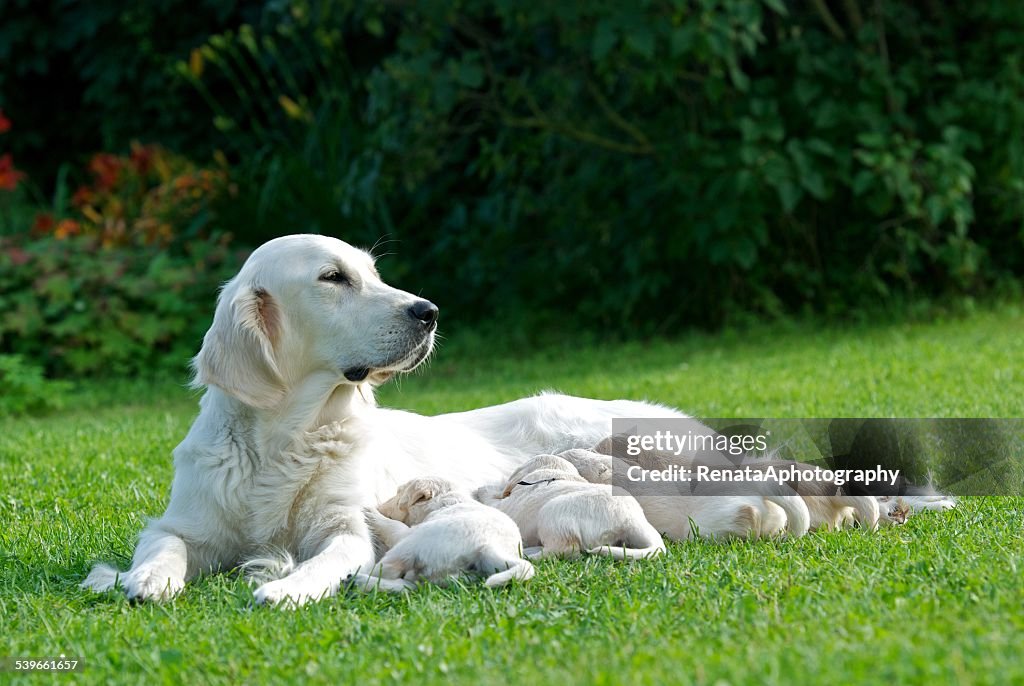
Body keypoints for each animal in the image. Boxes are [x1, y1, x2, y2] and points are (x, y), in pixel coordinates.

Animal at [350, 479, 532, 589]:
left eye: (398, 493)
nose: (380, 507)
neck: (447, 501)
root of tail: (487, 546)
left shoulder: (407, 532)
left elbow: (393, 526)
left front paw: (371, 512)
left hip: (412, 545)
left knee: (388, 569)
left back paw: (356, 579)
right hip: (449, 576)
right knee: (409, 584)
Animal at [477, 454, 667, 561]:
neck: (553, 471)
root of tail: (631, 520)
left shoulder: (508, 505)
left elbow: (492, 498)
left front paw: (483, 489)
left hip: (552, 512)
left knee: (565, 550)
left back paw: (528, 555)